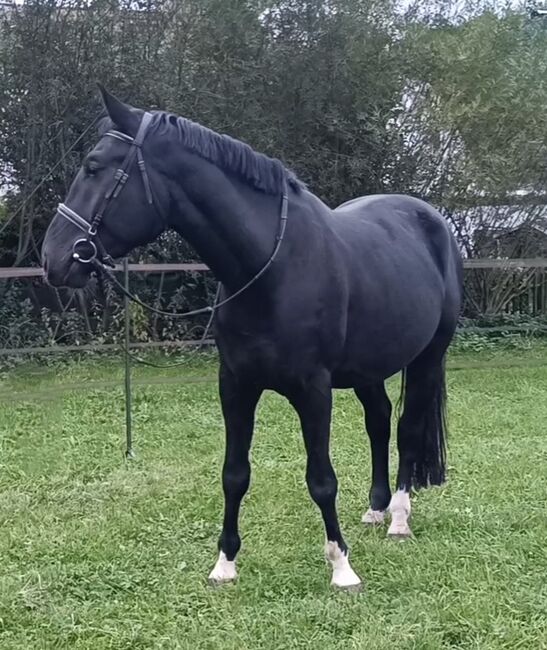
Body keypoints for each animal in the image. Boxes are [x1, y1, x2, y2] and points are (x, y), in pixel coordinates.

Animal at [42, 86, 462, 588]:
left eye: (93, 166)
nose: (52, 258)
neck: (271, 267)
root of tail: (431, 220)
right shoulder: (236, 385)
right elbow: (234, 474)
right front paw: (225, 563)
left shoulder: (314, 390)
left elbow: (322, 478)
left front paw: (341, 566)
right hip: (368, 367)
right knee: (378, 422)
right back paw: (376, 509)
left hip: (426, 357)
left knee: (406, 428)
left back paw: (398, 517)